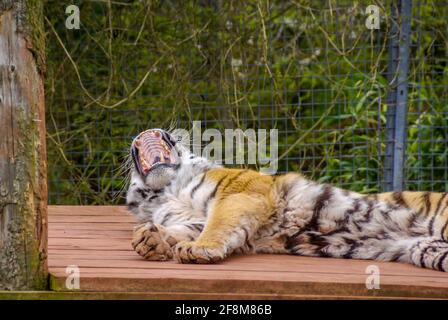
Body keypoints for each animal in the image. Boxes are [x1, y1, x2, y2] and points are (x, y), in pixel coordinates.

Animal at [124, 129, 448, 272]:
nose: (148, 129)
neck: (167, 189)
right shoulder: (193, 219)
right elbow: (182, 229)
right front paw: (151, 240)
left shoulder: (241, 192)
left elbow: (217, 226)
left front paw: (199, 249)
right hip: (428, 250)